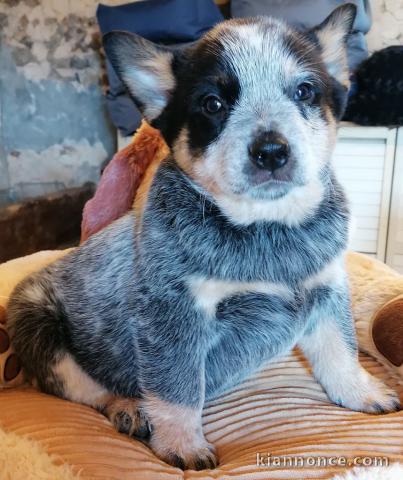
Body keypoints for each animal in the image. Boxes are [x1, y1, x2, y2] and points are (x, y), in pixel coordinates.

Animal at [6, 4, 400, 472]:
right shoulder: (173, 315)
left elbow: (341, 351)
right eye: (213, 103)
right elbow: (176, 389)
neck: (267, 229)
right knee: (86, 388)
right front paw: (182, 443)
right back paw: (128, 407)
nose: (271, 150)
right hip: (38, 326)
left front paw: (361, 392)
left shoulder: (325, 289)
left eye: (305, 91)